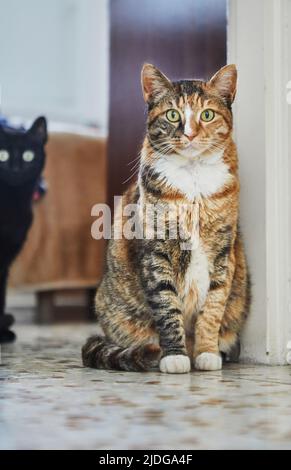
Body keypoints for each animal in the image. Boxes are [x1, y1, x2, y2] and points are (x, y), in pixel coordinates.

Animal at [82, 63, 251, 374]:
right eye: (173, 115)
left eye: (207, 114)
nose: (190, 134)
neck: (194, 180)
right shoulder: (155, 252)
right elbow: (166, 304)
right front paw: (175, 356)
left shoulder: (223, 252)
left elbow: (213, 305)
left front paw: (207, 352)